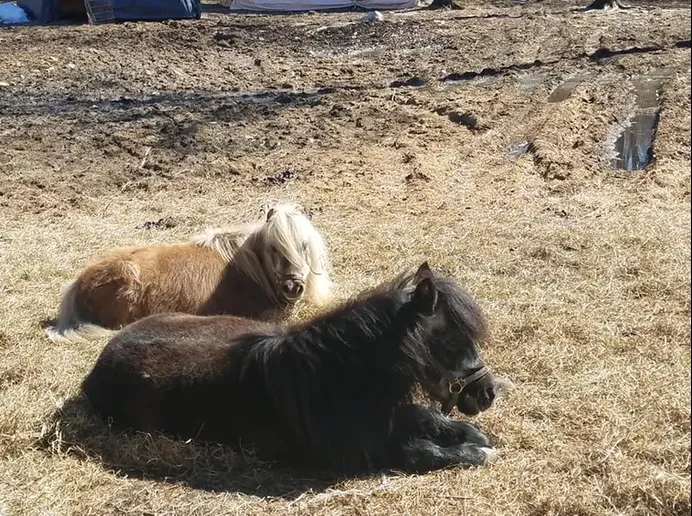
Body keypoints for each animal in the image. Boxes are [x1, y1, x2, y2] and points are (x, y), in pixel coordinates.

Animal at [81, 262, 504, 475]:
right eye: (451, 340)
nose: (487, 393)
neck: (334, 376)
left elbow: (430, 419)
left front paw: (473, 436)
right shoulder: (368, 451)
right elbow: (425, 452)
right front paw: (479, 452)